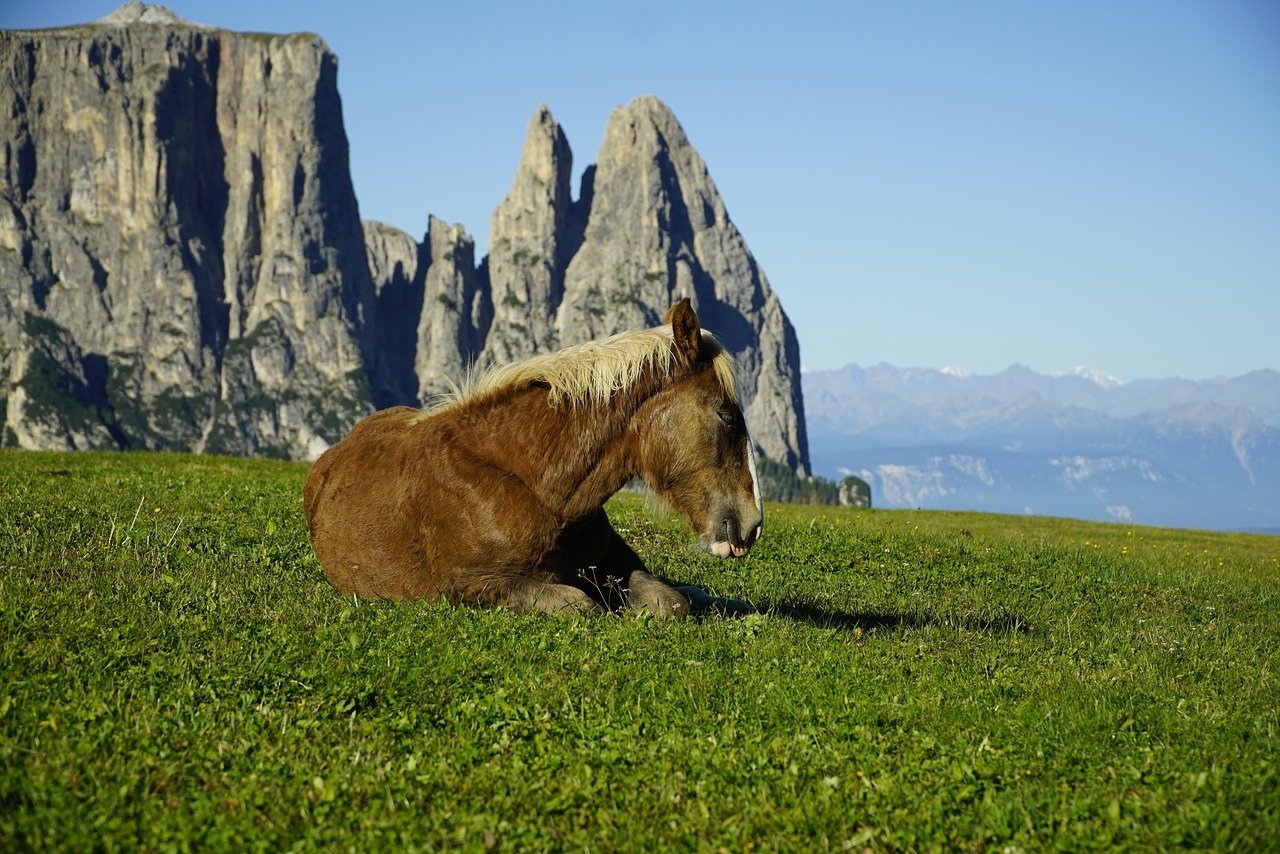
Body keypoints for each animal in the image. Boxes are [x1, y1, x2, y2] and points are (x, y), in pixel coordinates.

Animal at [302, 299, 763, 618]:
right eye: (726, 415)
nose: (752, 523)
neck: (531, 484)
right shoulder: (477, 585)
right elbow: (584, 605)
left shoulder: (614, 563)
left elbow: (669, 600)